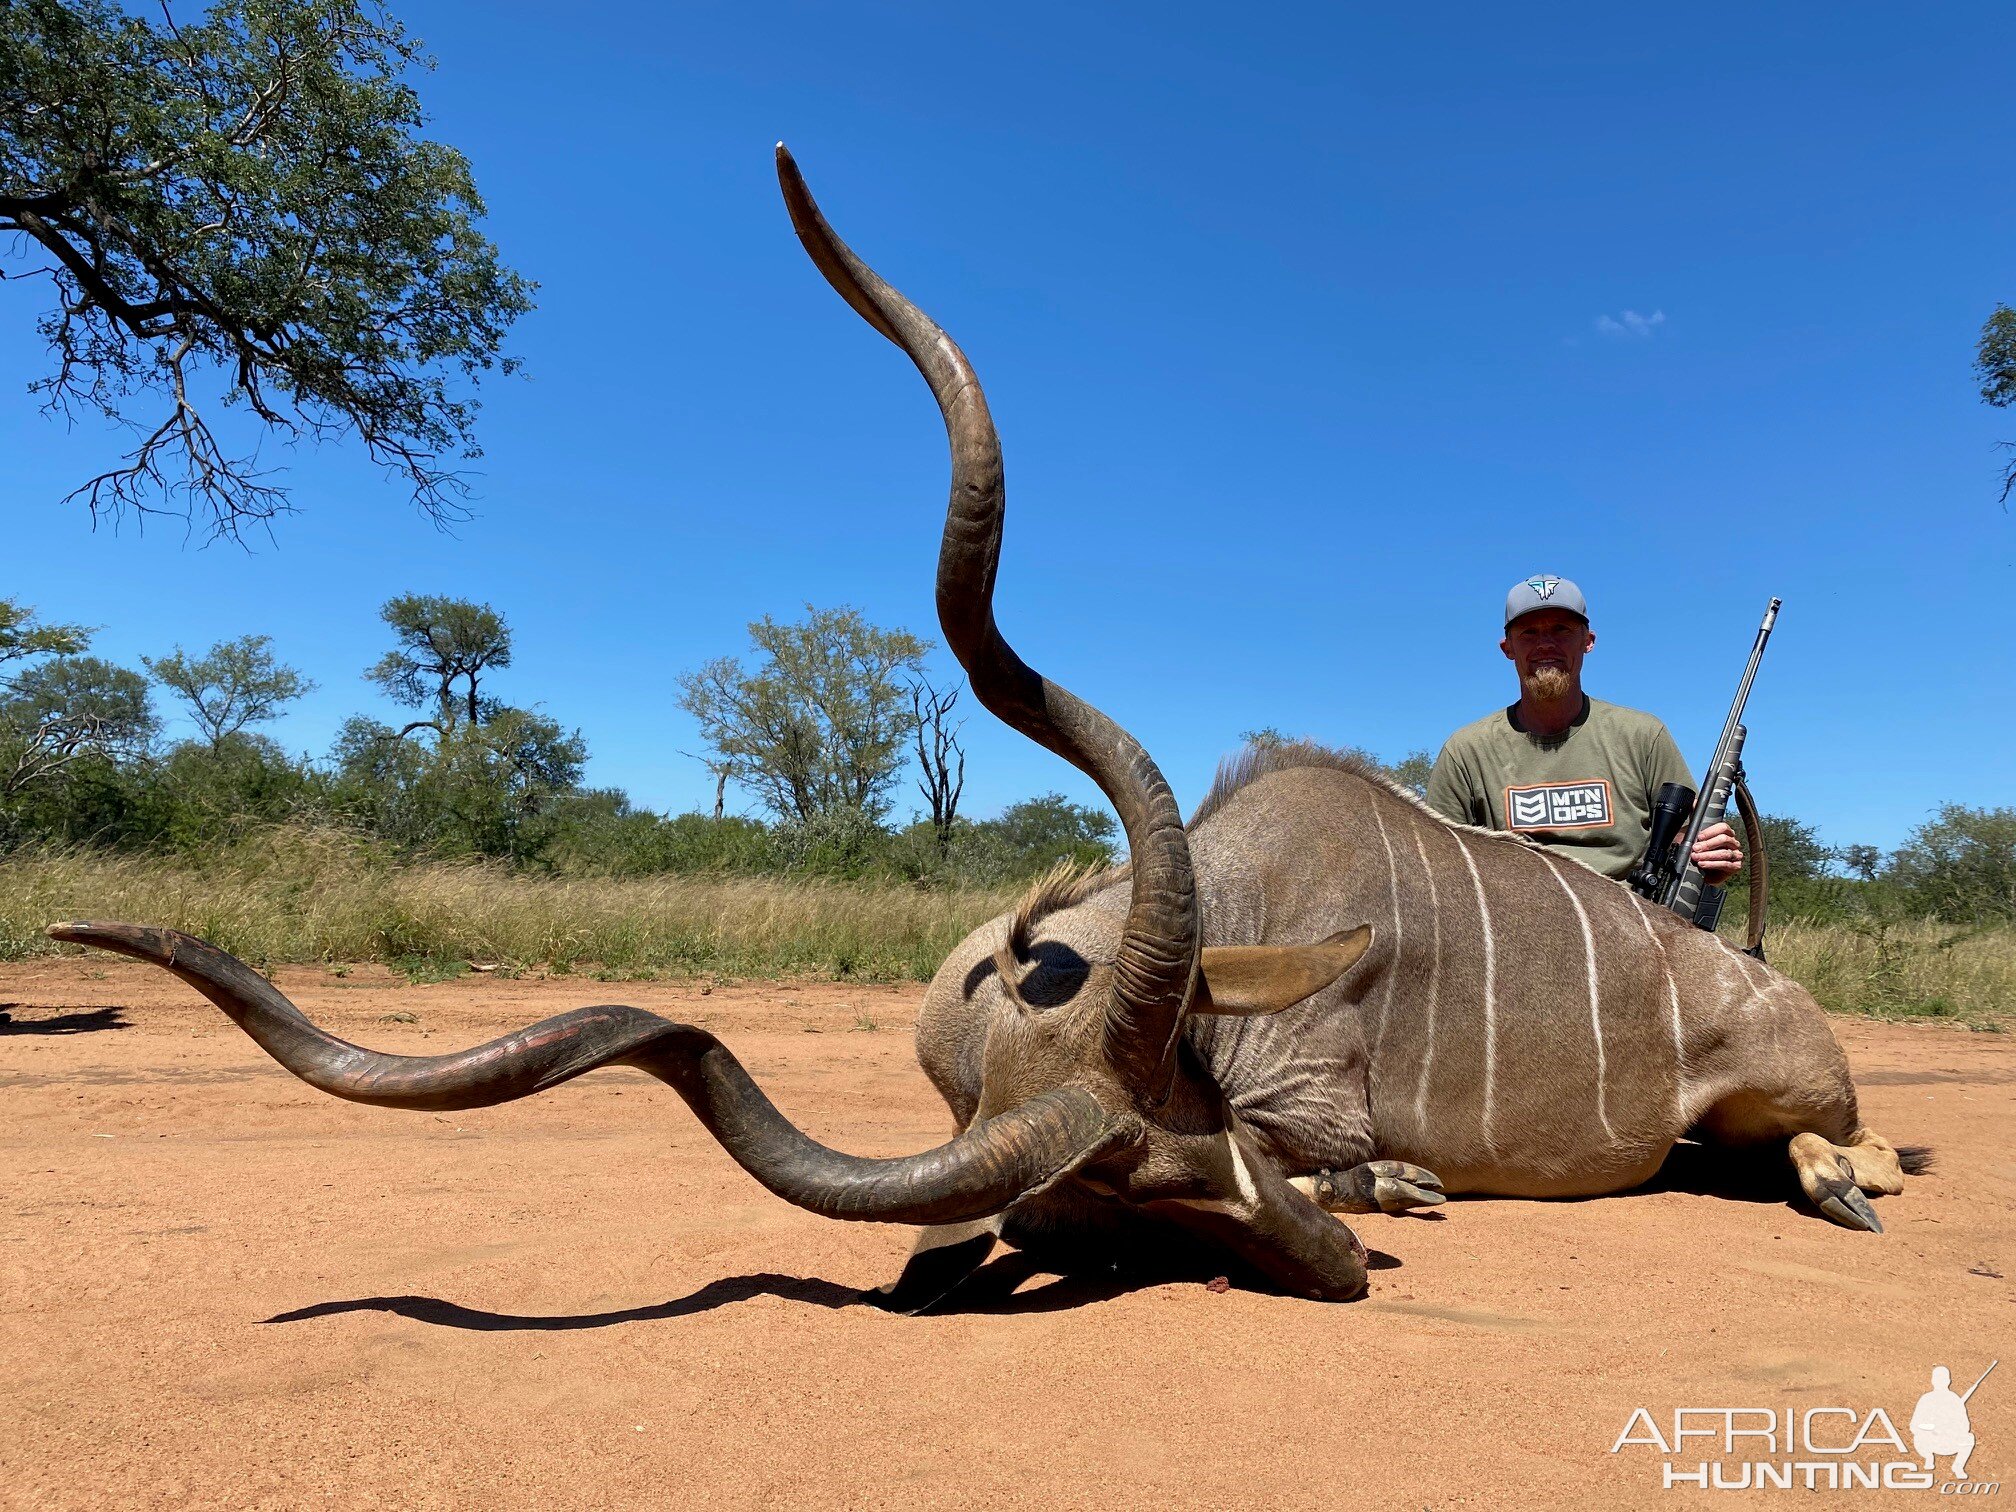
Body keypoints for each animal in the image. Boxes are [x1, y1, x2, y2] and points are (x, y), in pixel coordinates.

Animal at [47, 154, 1919, 1314]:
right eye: (1148, 1203)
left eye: (1195, 1144)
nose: (1339, 1275)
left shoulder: (1312, 1103)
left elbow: (1353, 1154)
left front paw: (1401, 1194)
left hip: (1784, 1068)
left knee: (1819, 1135)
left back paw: (1847, 1174)